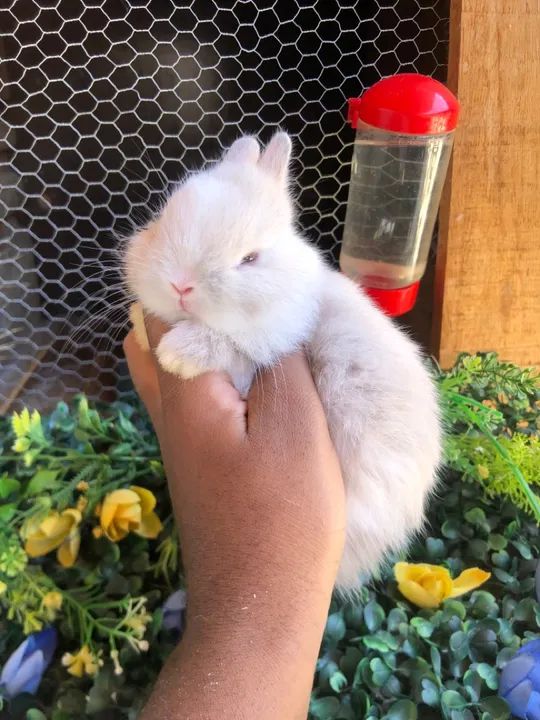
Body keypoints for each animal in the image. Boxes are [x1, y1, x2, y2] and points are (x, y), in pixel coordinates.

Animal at [124, 132, 441, 590]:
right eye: (162, 219)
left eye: (250, 259)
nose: (180, 284)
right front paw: (139, 322)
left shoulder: (263, 350)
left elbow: (228, 345)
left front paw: (176, 354)